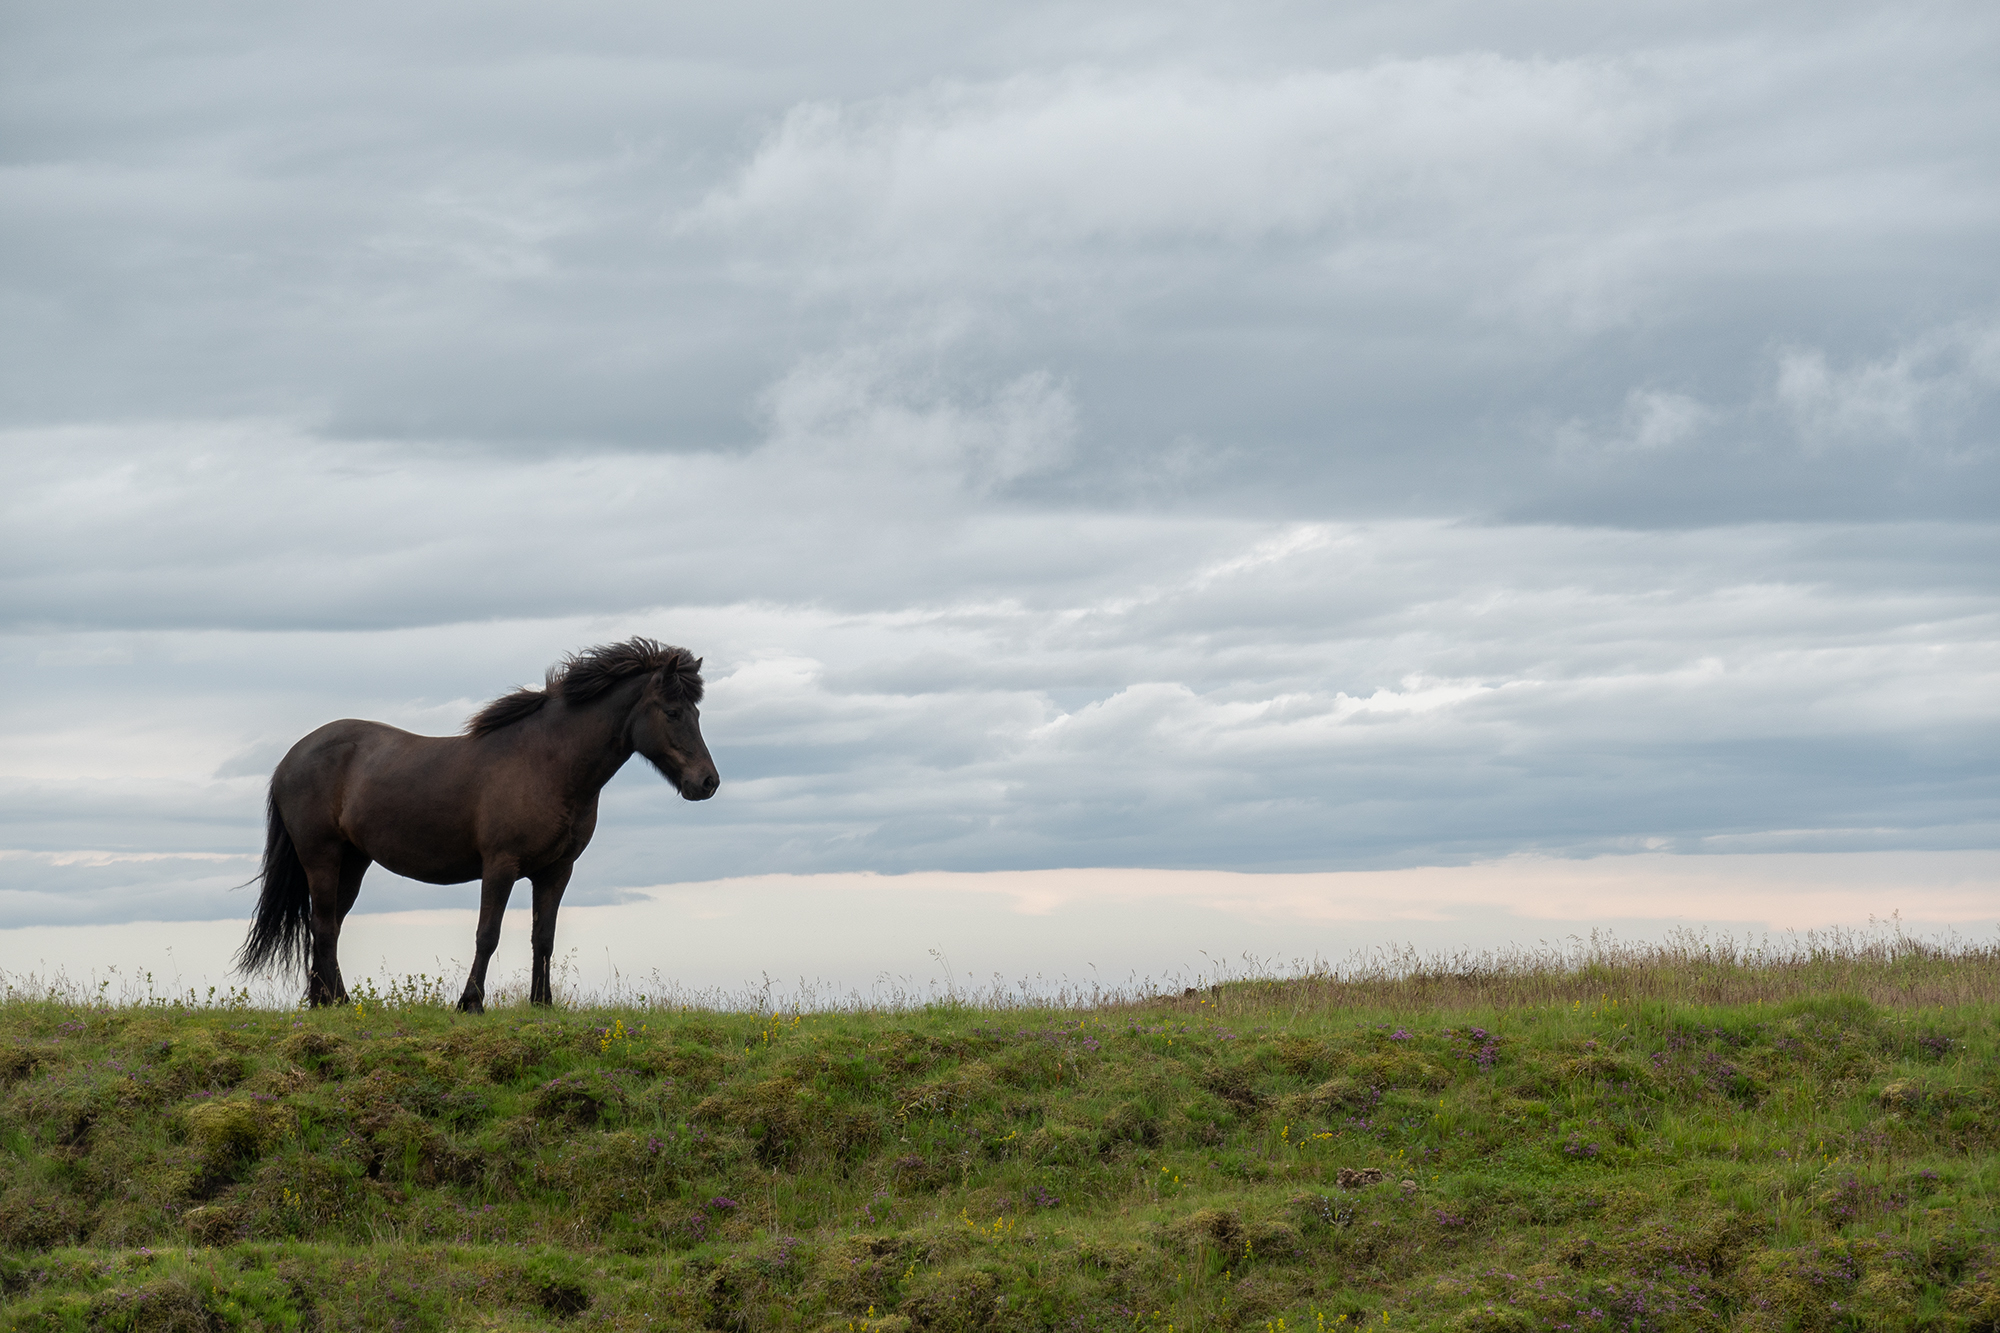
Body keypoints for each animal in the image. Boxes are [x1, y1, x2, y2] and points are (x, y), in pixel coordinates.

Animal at [235, 638, 719, 1012]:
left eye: (697, 713)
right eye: (673, 712)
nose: (708, 782)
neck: (548, 763)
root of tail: (292, 757)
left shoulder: (556, 871)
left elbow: (543, 937)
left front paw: (542, 1004)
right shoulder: (500, 866)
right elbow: (487, 934)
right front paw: (470, 1003)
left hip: (353, 863)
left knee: (330, 925)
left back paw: (327, 1001)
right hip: (322, 856)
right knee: (322, 925)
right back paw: (337, 1002)